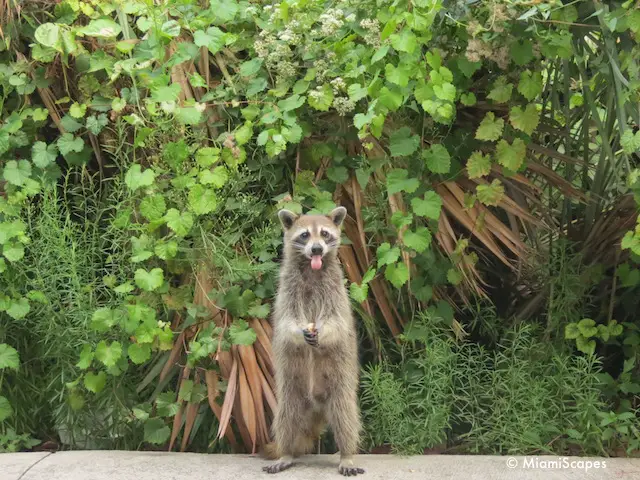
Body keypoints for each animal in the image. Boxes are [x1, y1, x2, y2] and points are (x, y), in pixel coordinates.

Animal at [262, 206, 364, 476]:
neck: (311, 268)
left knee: (346, 418)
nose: (317, 249)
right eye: (305, 235)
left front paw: (323, 332)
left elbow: (336, 321)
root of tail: (317, 406)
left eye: (325, 234)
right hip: (290, 393)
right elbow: (286, 321)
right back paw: (286, 452)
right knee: (285, 421)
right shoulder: (286, 291)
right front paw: (299, 331)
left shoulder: (336, 291)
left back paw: (347, 455)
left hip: (339, 386)